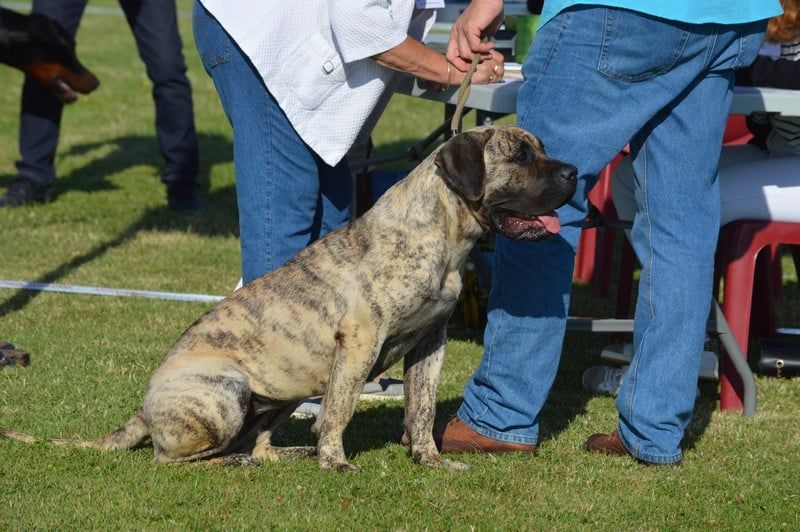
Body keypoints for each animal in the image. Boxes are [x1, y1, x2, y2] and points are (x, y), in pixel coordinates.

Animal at [0, 127, 576, 472]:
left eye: (543, 149)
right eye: (521, 156)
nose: (573, 172)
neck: (442, 234)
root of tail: (143, 409)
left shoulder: (430, 342)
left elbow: (421, 408)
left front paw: (429, 460)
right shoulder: (360, 340)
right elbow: (342, 408)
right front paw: (336, 462)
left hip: (281, 392)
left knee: (255, 441)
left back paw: (283, 454)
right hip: (227, 390)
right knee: (176, 458)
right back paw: (239, 462)